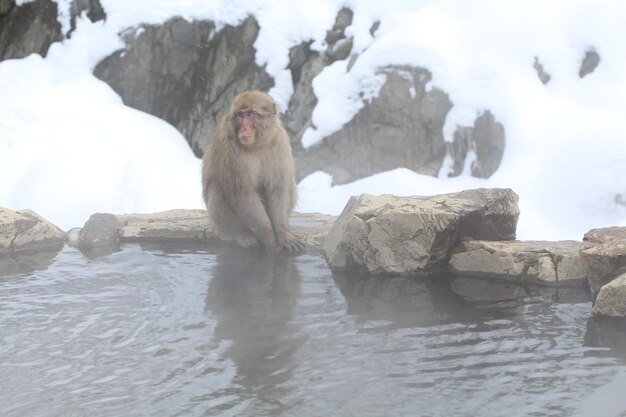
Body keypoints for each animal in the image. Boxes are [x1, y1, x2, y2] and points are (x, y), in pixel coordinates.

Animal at [201, 91, 304, 252]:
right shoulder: (228, 146)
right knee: (216, 188)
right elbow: (242, 192)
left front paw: (282, 233)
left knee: (290, 186)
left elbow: (278, 188)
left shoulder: (280, 140)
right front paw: (269, 236)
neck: (257, 145)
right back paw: (242, 234)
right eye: (240, 115)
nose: (243, 129)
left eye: (250, 114)